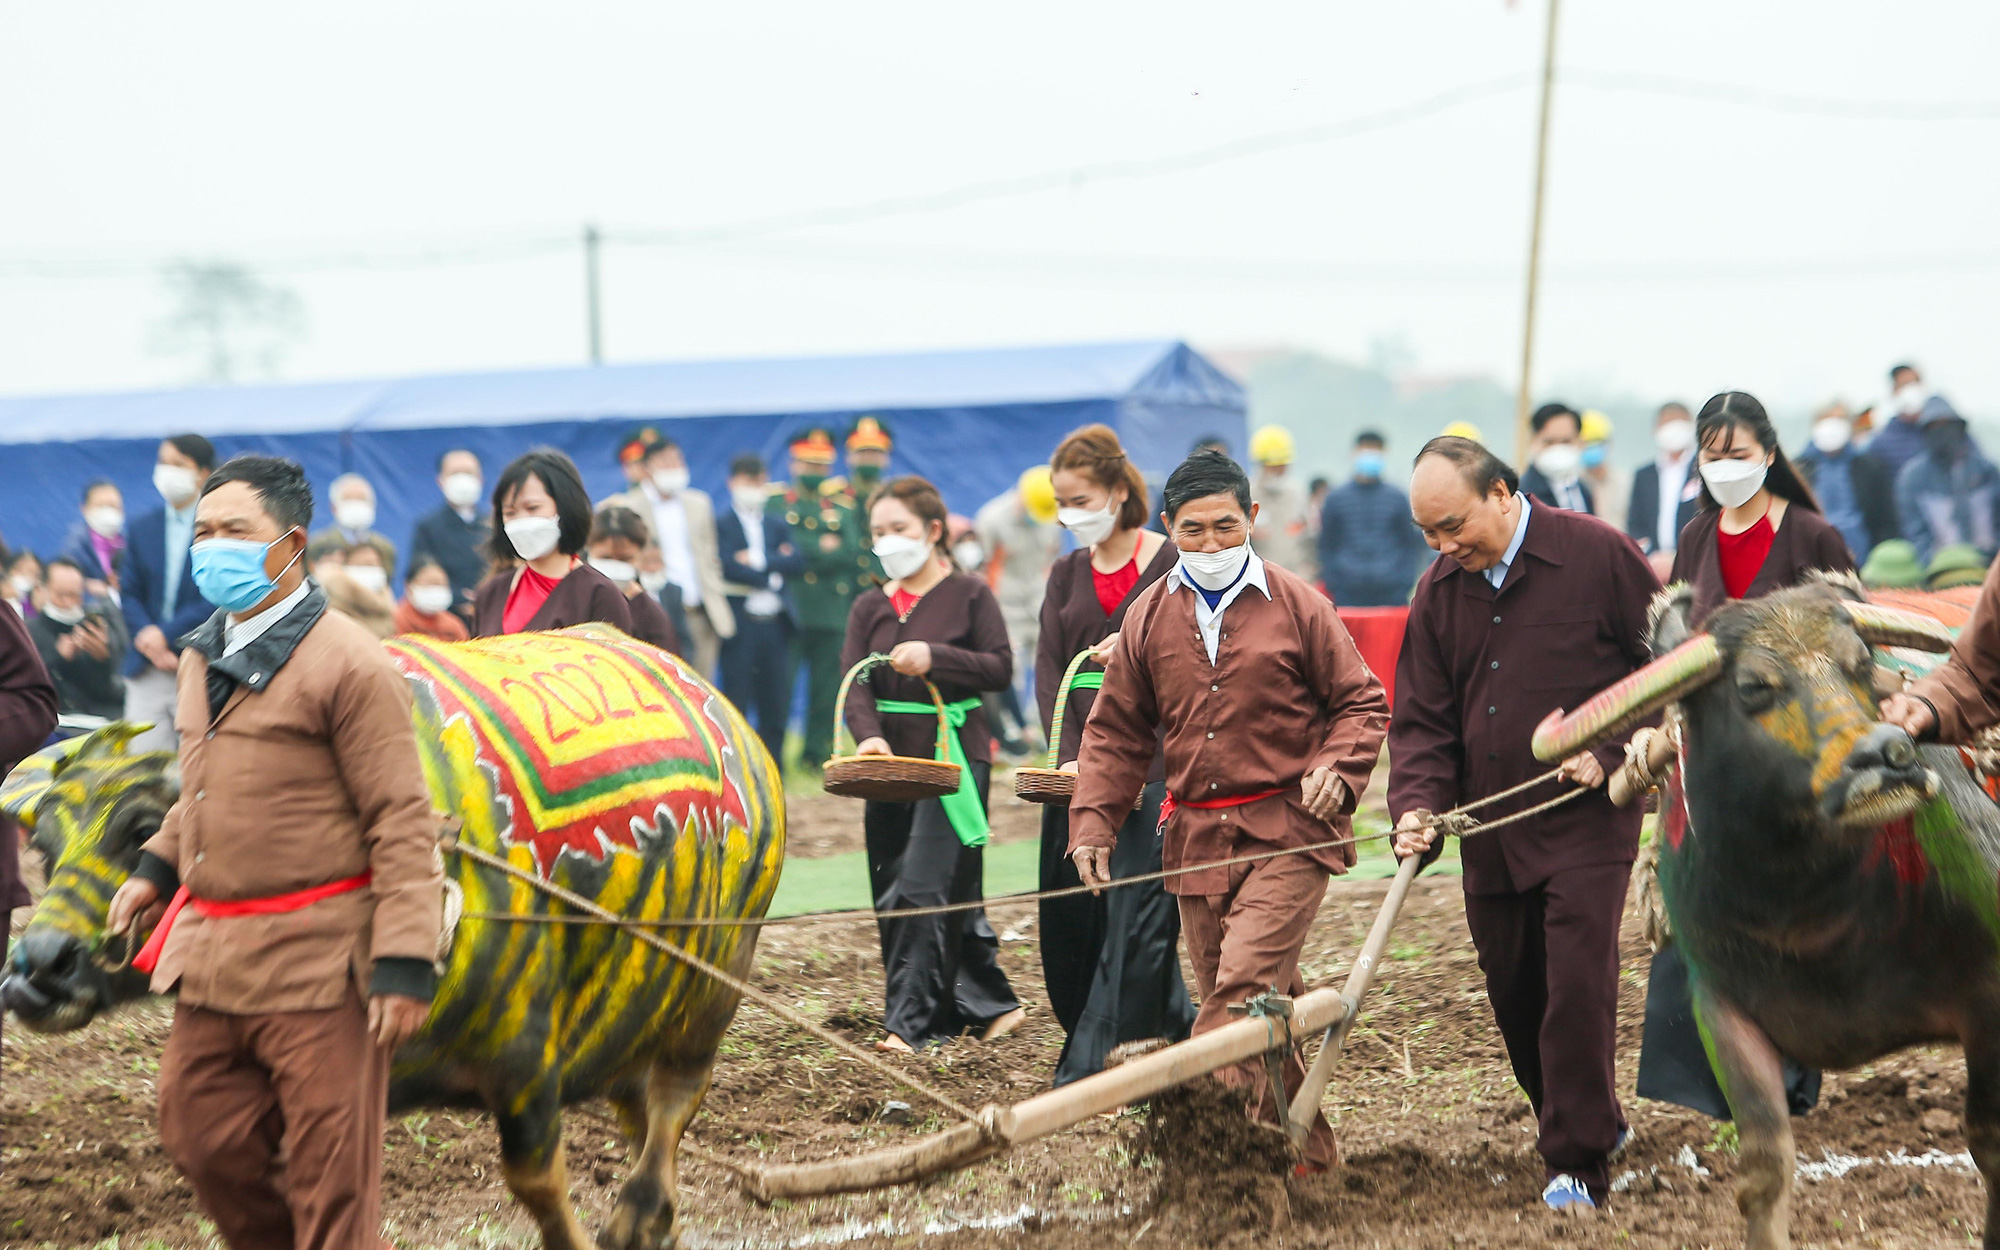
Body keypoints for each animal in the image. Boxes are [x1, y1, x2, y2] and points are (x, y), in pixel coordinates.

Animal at [0, 628, 780, 1240]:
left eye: (139, 830)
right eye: (43, 846)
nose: (38, 967)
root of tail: (743, 738)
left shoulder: (525, 1059)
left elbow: (538, 1183)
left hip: (716, 980)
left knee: (675, 1099)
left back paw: (640, 1212)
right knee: (639, 1108)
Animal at [1528, 580, 1984, 1248]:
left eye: (1861, 663)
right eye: (1753, 687)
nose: (1887, 756)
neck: (1812, 916)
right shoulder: (1724, 1015)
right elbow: (1765, 1172)